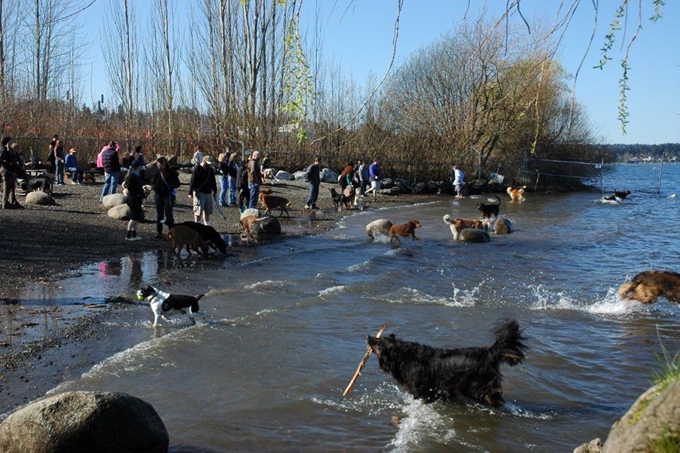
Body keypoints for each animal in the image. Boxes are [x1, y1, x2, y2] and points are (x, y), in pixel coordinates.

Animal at [370, 318, 528, 406]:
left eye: (378, 342)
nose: (368, 337)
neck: (404, 356)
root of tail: (487, 353)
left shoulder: (422, 388)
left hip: (478, 385)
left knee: (492, 395)